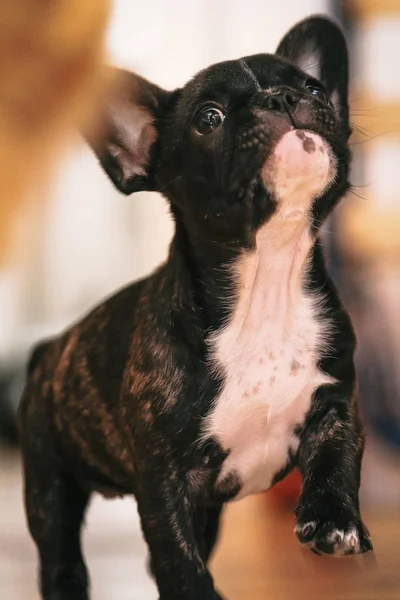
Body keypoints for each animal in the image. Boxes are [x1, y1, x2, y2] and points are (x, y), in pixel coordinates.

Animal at [18, 14, 374, 600]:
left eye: (315, 89)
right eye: (209, 119)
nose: (282, 98)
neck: (266, 283)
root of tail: (51, 350)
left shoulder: (335, 402)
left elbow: (337, 460)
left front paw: (334, 521)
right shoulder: (165, 480)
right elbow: (178, 557)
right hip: (49, 480)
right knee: (60, 552)